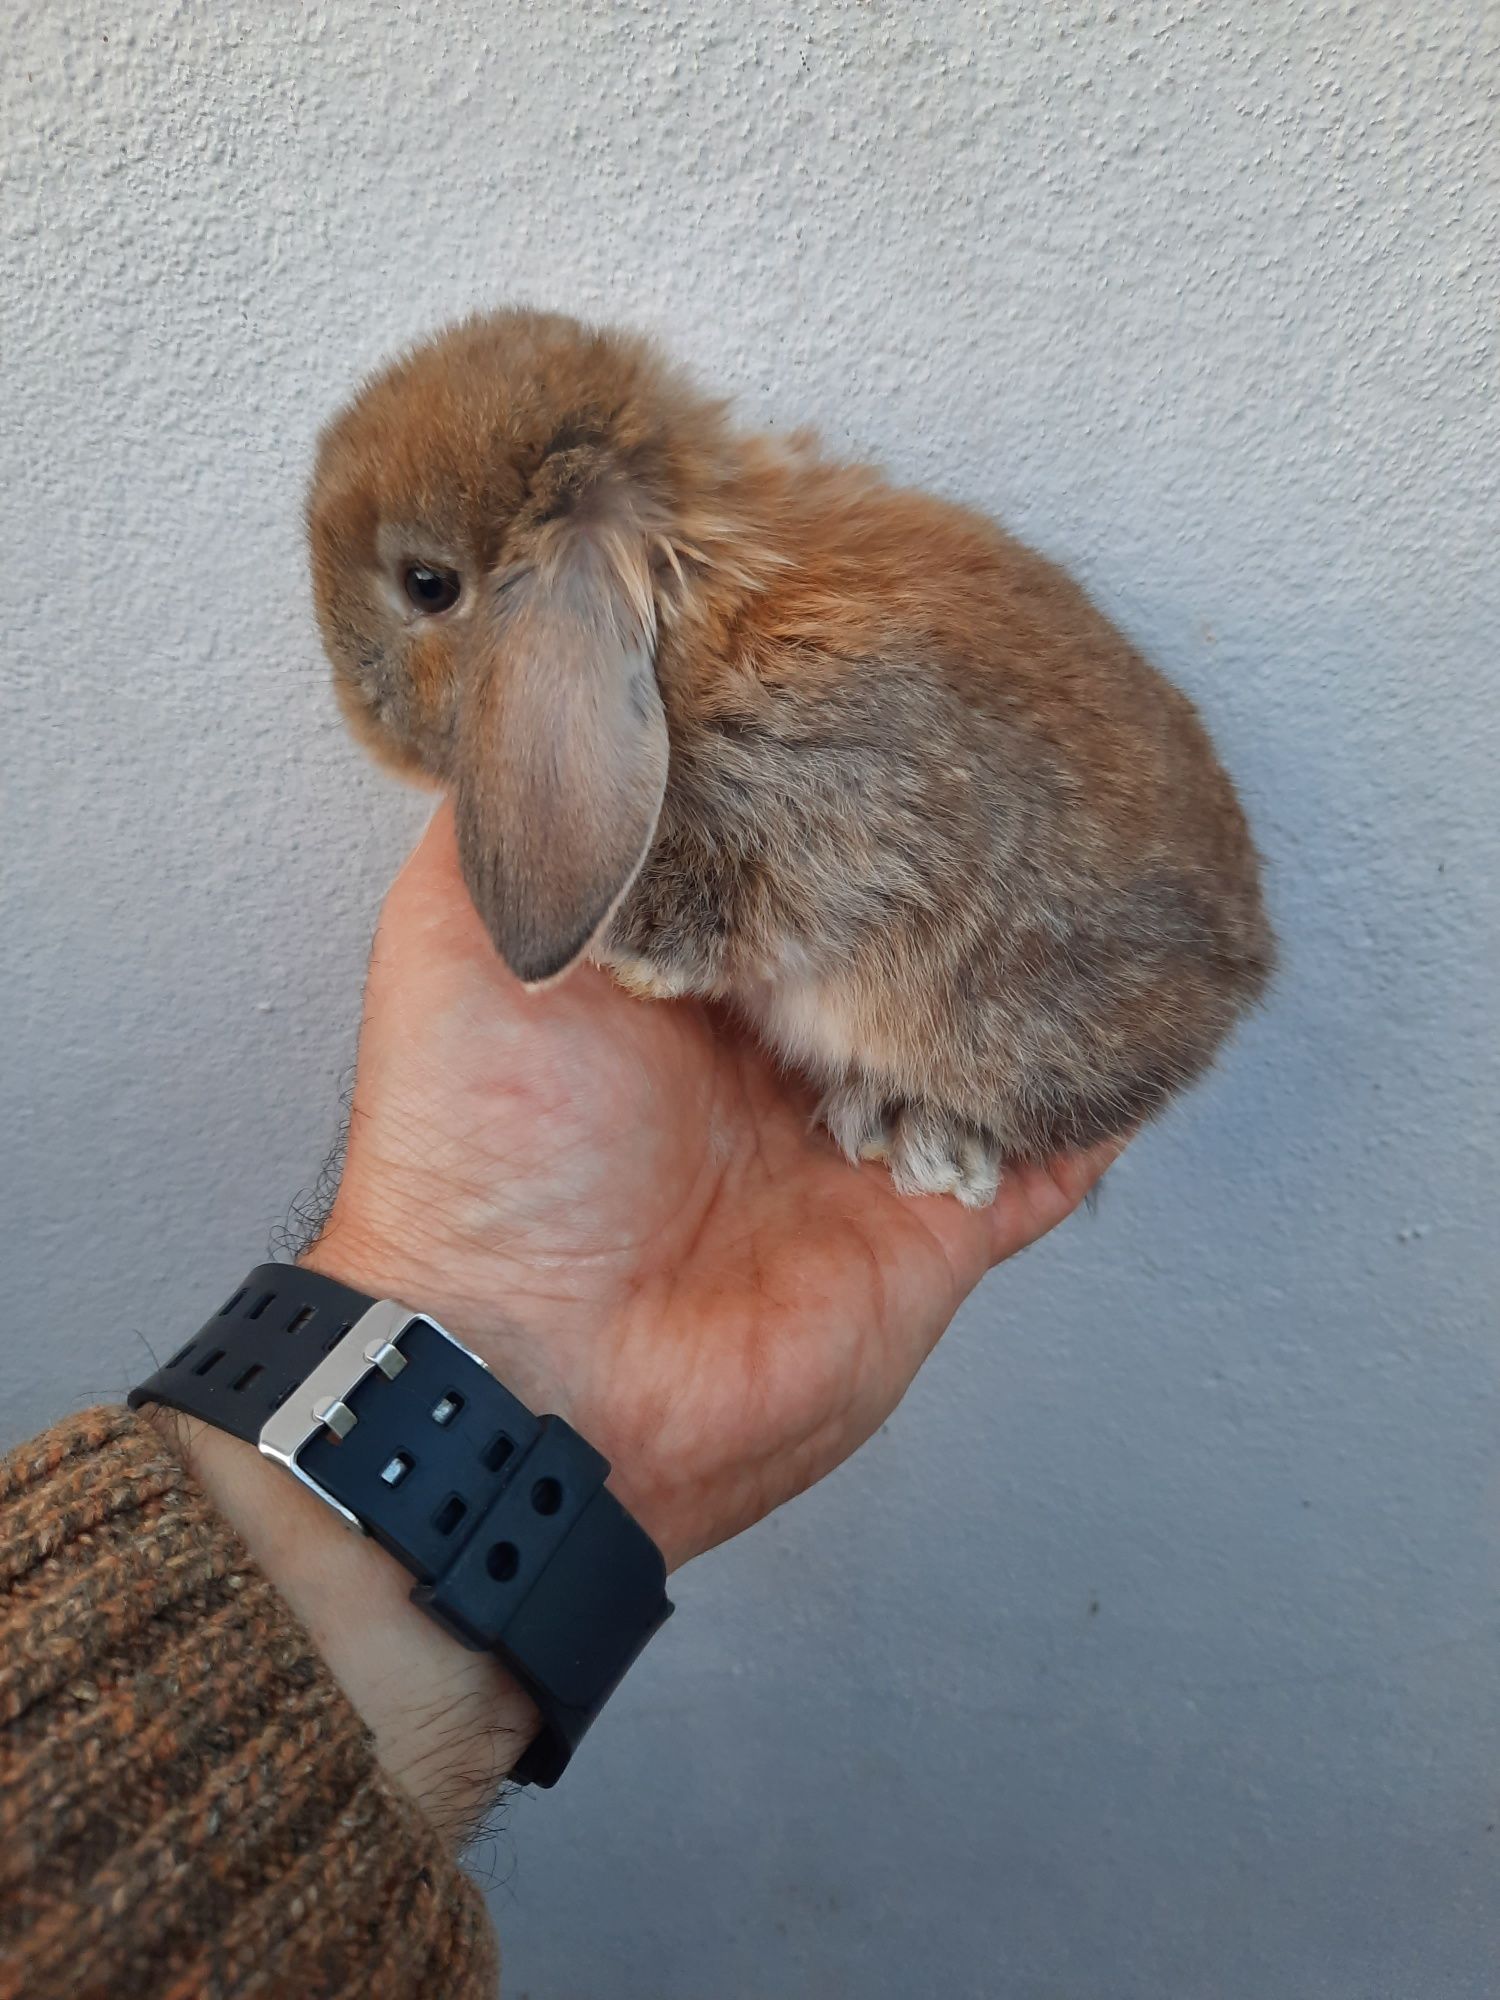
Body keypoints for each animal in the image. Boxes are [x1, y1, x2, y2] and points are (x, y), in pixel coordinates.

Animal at [308, 308, 1280, 1200]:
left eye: (427, 586)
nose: (358, 713)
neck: (694, 622)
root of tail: (1244, 985)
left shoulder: (839, 805)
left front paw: (638, 963)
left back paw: (916, 1134)